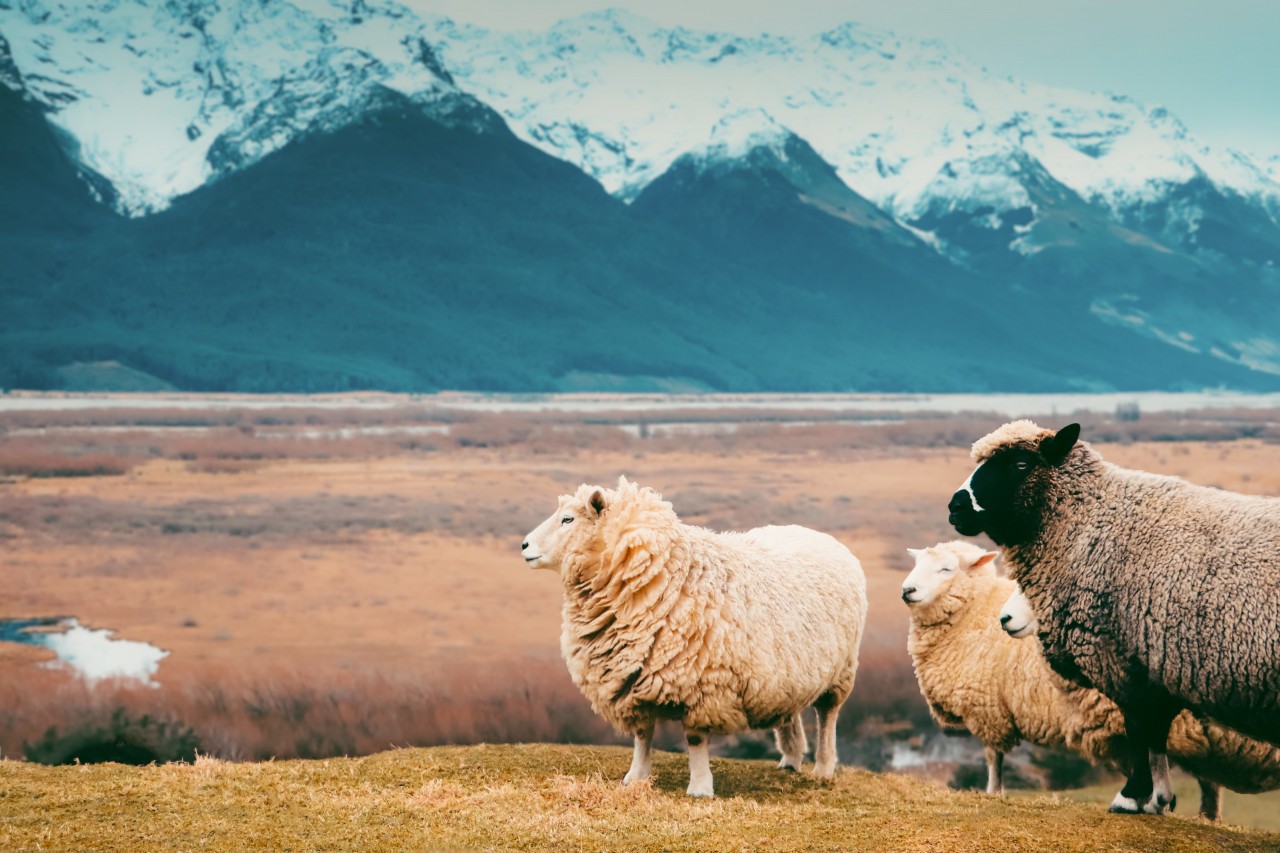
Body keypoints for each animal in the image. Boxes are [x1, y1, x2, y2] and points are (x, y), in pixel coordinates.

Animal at [522, 473, 870, 794]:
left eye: (568, 519)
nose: (524, 545)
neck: (664, 576)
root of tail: (819, 535)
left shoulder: (704, 686)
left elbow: (694, 738)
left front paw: (700, 787)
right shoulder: (632, 679)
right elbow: (642, 735)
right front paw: (635, 778)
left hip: (840, 670)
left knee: (827, 715)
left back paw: (823, 768)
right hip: (790, 671)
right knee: (789, 710)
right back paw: (791, 760)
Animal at [906, 537, 1280, 819]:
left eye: (946, 568)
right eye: (918, 563)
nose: (906, 590)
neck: (975, 612)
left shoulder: (988, 709)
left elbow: (993, 759)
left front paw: (993, 793)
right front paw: (1152, 801)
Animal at [947, 422, 1280, 814]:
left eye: (1020, 465)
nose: (955, 506)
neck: (1087, 522)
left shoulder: (1120, 658)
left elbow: (1138, 730)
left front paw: (1131, 796)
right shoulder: (1156, 668)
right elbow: (1155, 735)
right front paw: (1158, 798)